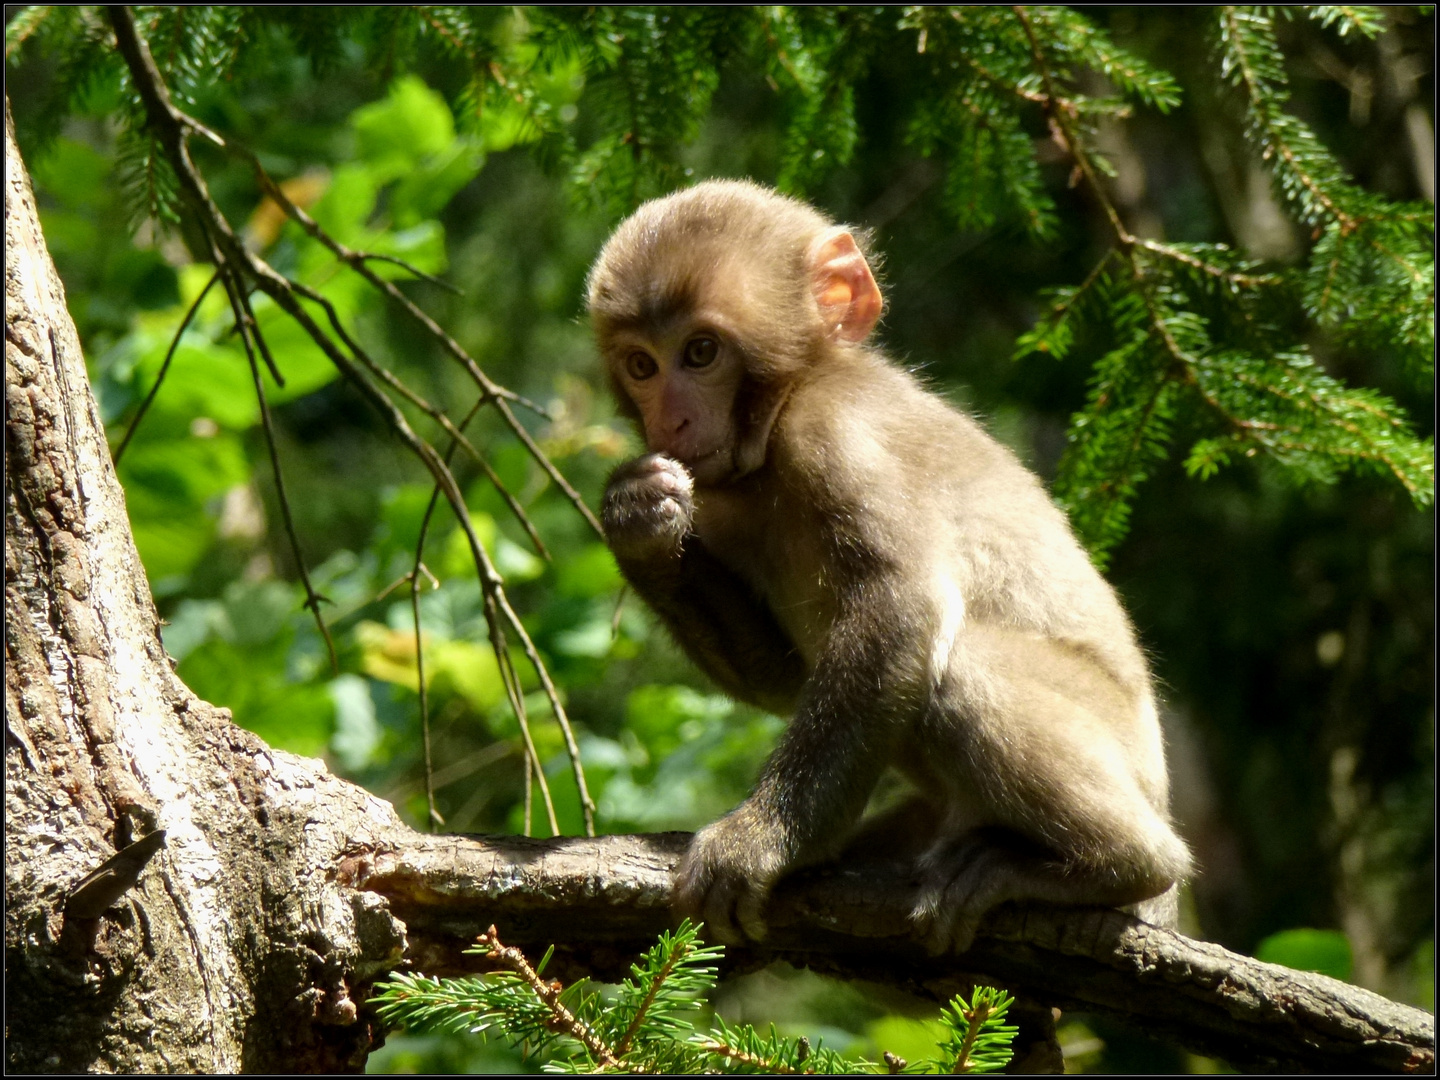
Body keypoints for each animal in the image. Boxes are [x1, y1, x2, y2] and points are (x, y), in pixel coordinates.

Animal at [584, 180, 1192, 956]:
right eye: (641, 365)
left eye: (699, 352)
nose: (673, 422)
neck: (774, 436)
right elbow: (786, 678)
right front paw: (637, 521)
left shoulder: (840, 435)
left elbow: (899, 608)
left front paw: (760, 843)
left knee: (960, 668)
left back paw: (1118, 864)